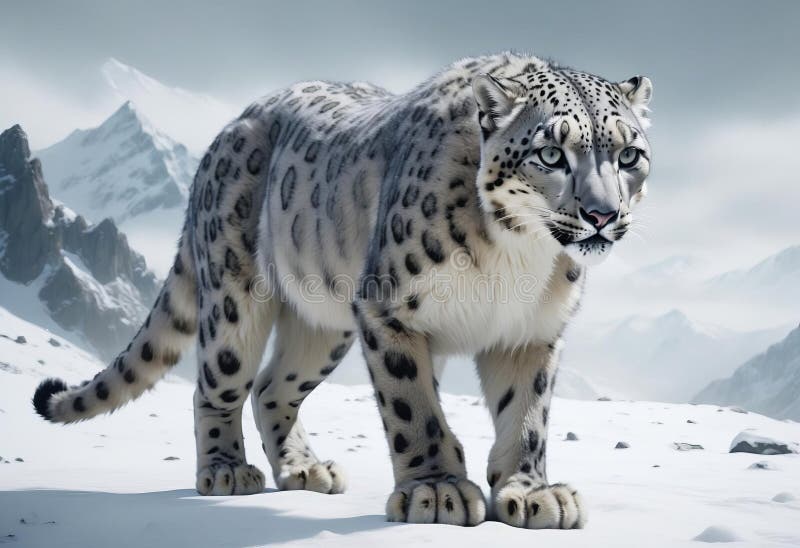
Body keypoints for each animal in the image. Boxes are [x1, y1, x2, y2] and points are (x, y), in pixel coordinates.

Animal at [33, 51, 652, 529]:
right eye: (551, 153)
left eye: (629, 154)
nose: (602, 215)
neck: (520, 258)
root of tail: (234, 124)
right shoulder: (388, 309)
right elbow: (414, 406)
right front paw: (437, 490)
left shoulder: (530, 332)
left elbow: (526, 415)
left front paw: (531, 493)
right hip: (235, 296)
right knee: (220, 383)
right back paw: (225, 470)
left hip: (321, 323)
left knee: (272, 387)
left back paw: (304, 469)